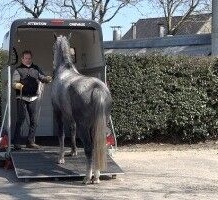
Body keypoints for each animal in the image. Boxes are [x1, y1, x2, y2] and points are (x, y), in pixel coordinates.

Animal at [51, 34, 112, 184]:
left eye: (53, 47)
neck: (65, 70)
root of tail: (97, 88)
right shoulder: (70, 116)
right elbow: (72, 131)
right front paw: (73, 152)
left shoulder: (58, 112)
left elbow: (61, 134)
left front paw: (61, 158)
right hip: (98, 125)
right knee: (96, 147)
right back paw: (96, 176)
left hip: (84, 126)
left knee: (89, 149)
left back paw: (87, 177)